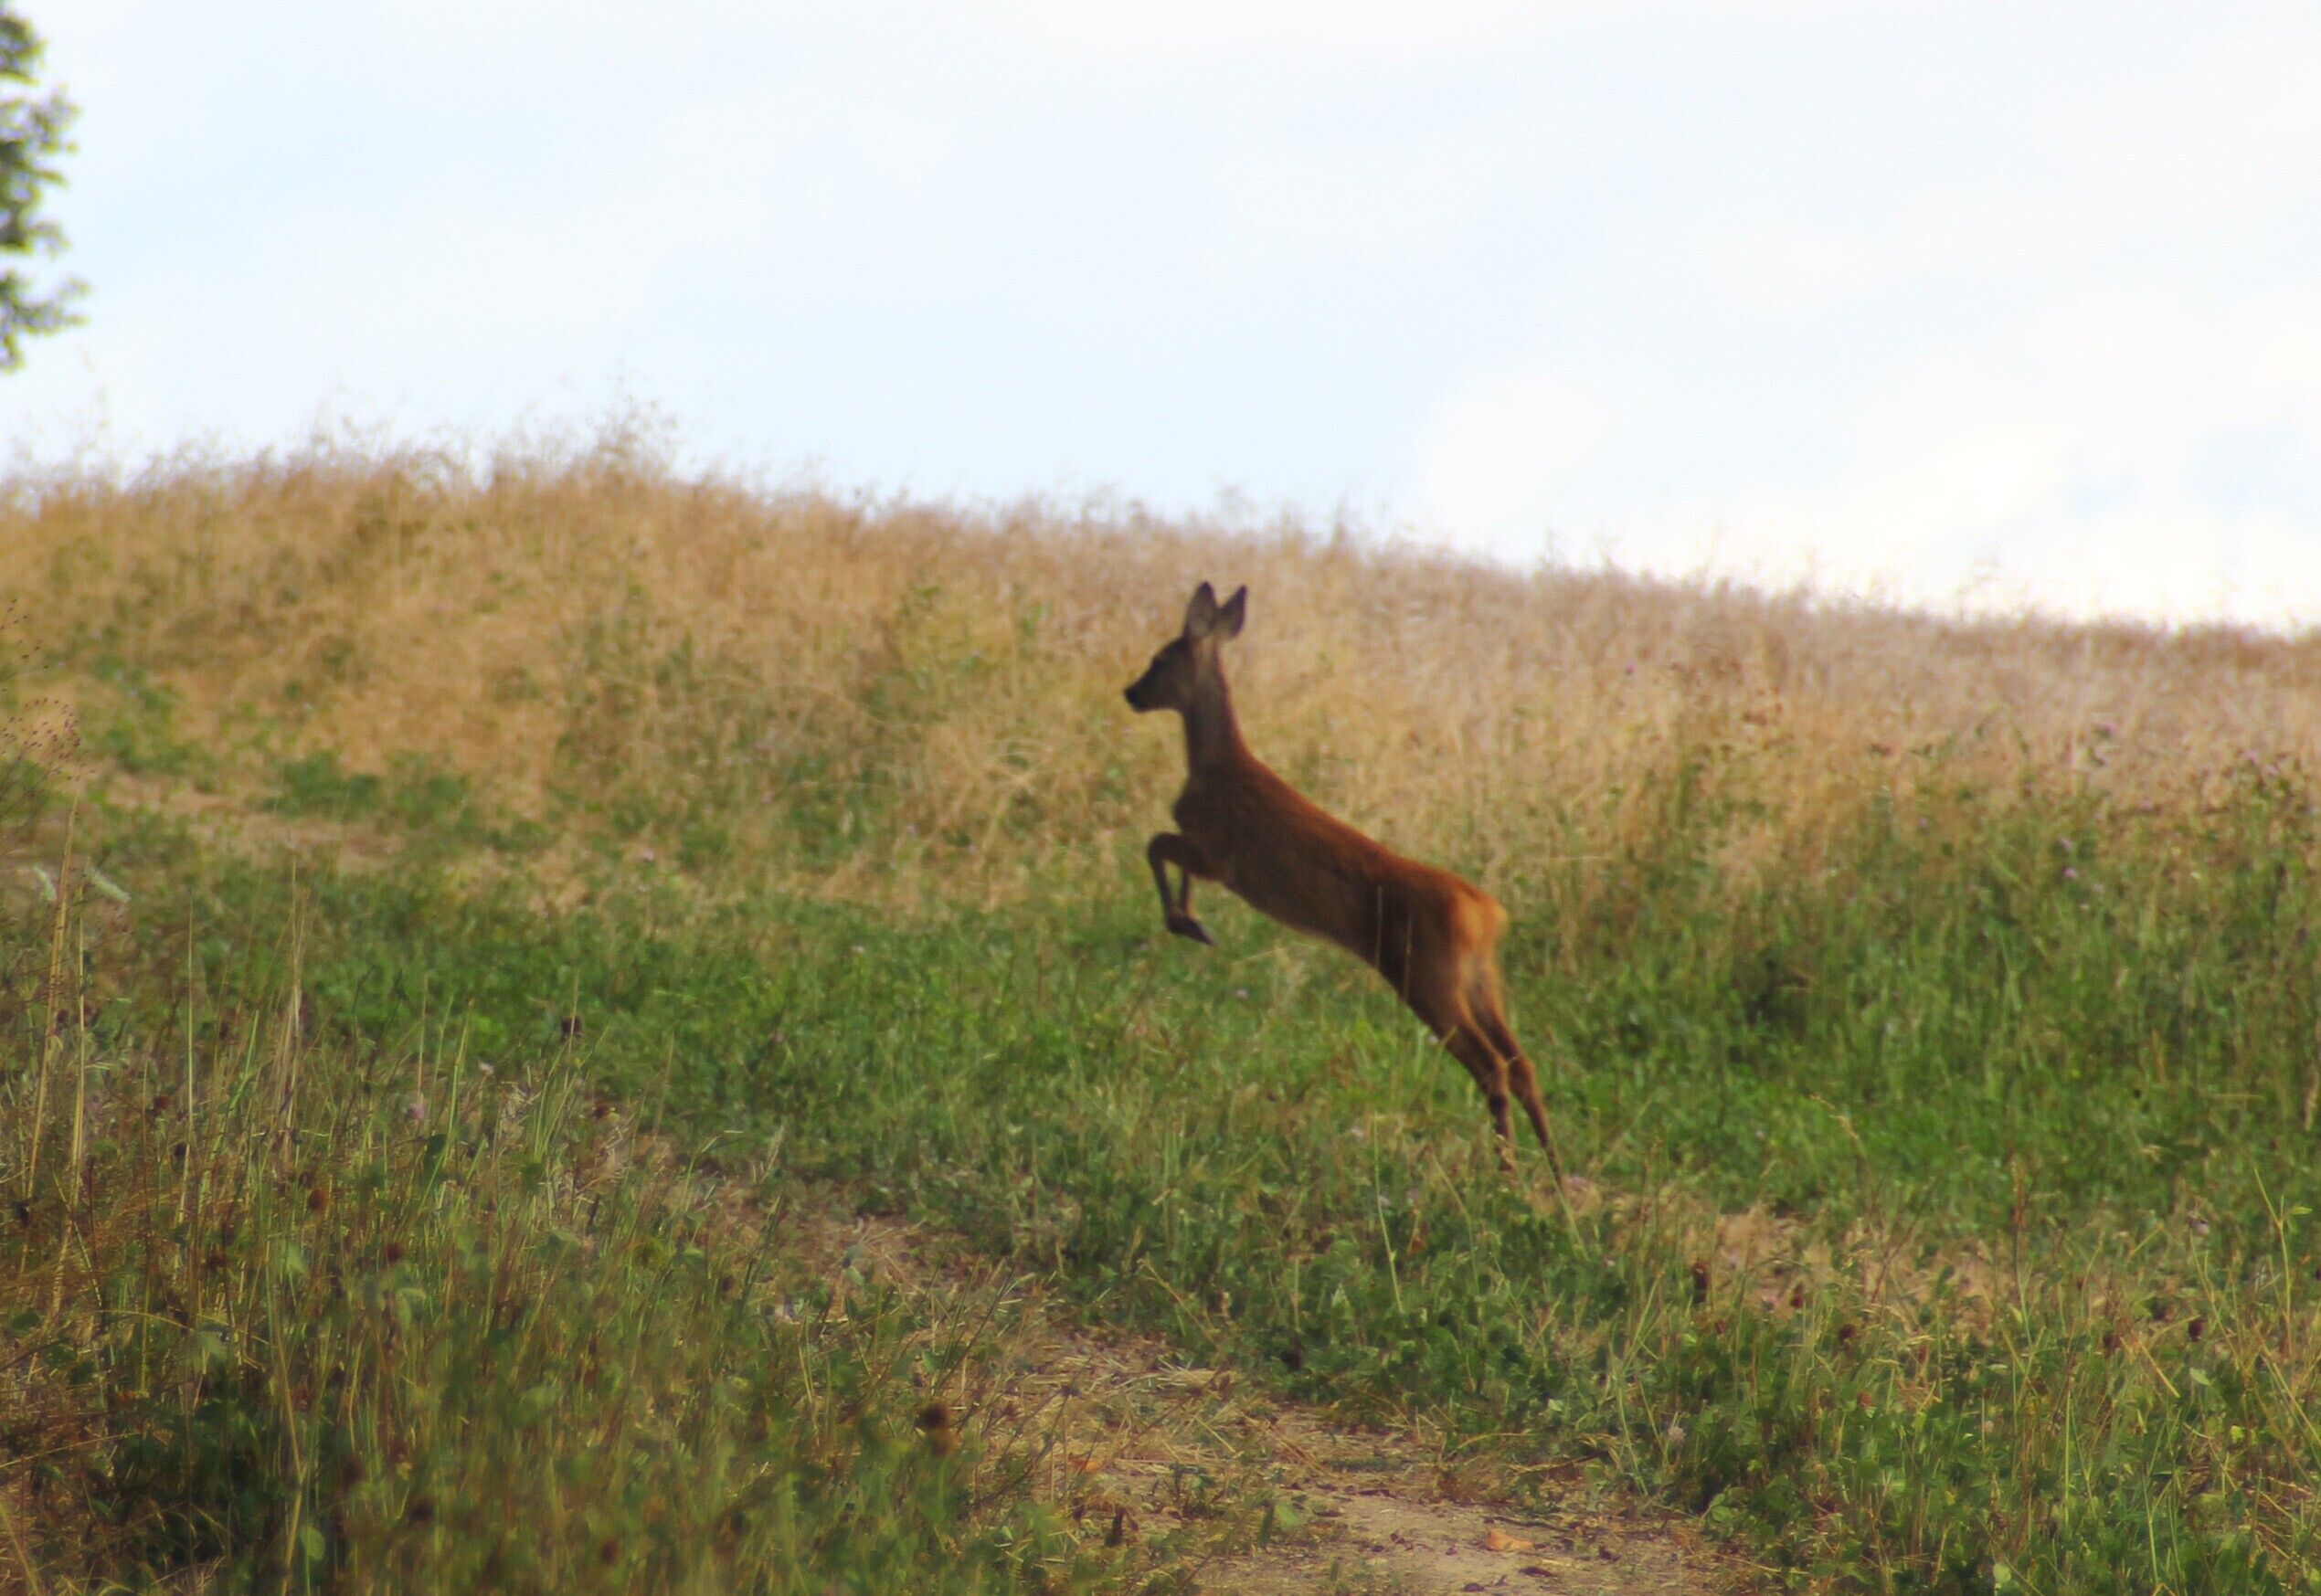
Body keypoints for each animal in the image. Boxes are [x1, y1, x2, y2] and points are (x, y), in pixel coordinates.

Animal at [1124, 581, 1564, 1177]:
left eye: (1159, 659)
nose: (1130, 693)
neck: (1216, 765)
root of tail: (1485, 913)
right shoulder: (1209, 855)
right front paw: (1192, 920)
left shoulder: (1218, 853)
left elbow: (1156, 844)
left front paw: (1186, 922)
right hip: (1479, 979)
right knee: (1523, 1064)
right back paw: (1556, 1176)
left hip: (1426, 974)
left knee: (1492, 1066)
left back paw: (1508, 1173)